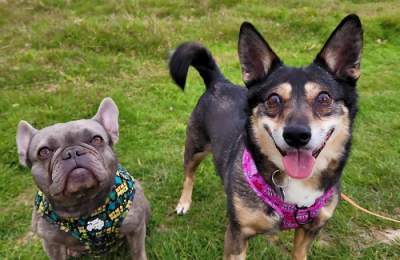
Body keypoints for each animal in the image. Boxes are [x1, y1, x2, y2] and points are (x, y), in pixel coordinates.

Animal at [169, 14, 362, 260]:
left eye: (324, 98)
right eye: (273, 99)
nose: (296, 135)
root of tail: (218, 81)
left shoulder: (310, 231)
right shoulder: (237, 235)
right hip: (195, 147)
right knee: (189, 175)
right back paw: (184, 202)